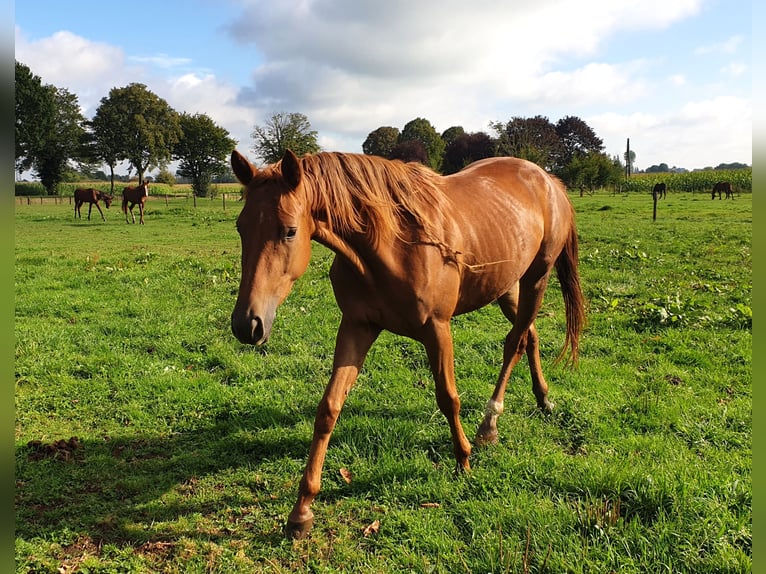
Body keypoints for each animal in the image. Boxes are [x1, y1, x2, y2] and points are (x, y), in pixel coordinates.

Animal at [230, 148, 588, 540]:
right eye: (241, 227)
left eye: (290, 231)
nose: (247, 325)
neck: (391, 245)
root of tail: (547, 179)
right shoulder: (357, 327)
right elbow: (328, 409)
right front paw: (301, 510)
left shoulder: (437, 329)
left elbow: (448, 397)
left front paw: (463, 461)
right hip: (506, 286)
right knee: (531, 336)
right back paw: (543, 399)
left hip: (536, 278)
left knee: (516, 343)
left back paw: (489, 424)